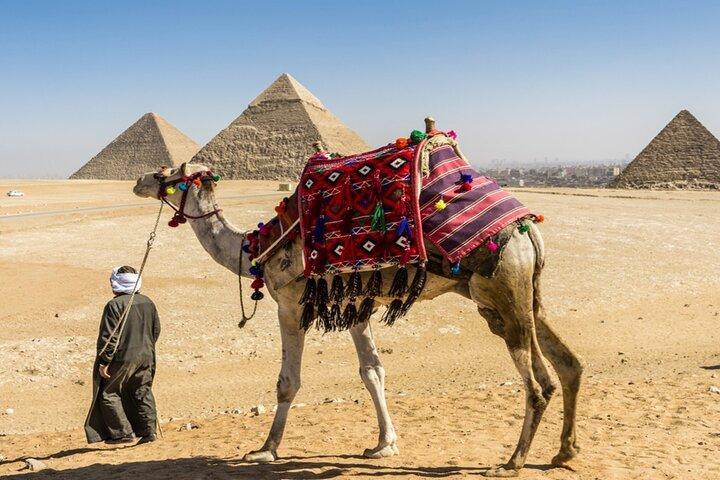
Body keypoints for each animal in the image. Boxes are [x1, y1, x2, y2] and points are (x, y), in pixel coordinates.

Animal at [133, 140, 584, 477]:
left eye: (166, 174)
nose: (138, 181)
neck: (257, 248)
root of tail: (528, 228)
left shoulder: (291, 305)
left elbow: (288, 382)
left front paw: (265, 449)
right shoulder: (355, 307)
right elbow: (372, 371)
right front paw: (384, 444)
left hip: (501, 288)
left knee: (538, 382)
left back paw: (512, 462)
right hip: (524, 292)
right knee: (569, 363)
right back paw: (564, 451)